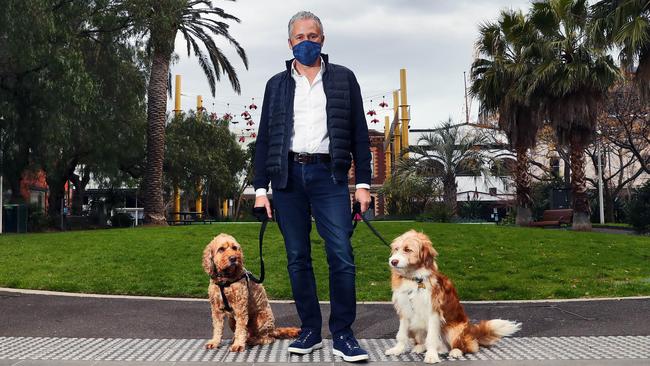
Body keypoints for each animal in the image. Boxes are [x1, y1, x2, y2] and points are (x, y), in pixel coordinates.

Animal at [384, 230, 516, 362]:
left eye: (408, 249)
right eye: (396, 249)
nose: (393, 261)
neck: (414, 279)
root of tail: (473, 334)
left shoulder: (433, 312)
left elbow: (432, 337)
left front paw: (431, 356)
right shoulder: (404, 310)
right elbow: (402, 334)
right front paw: (397, 350)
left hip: (455, 330)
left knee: (464, 347)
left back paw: (455, 351)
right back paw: (421, 347)